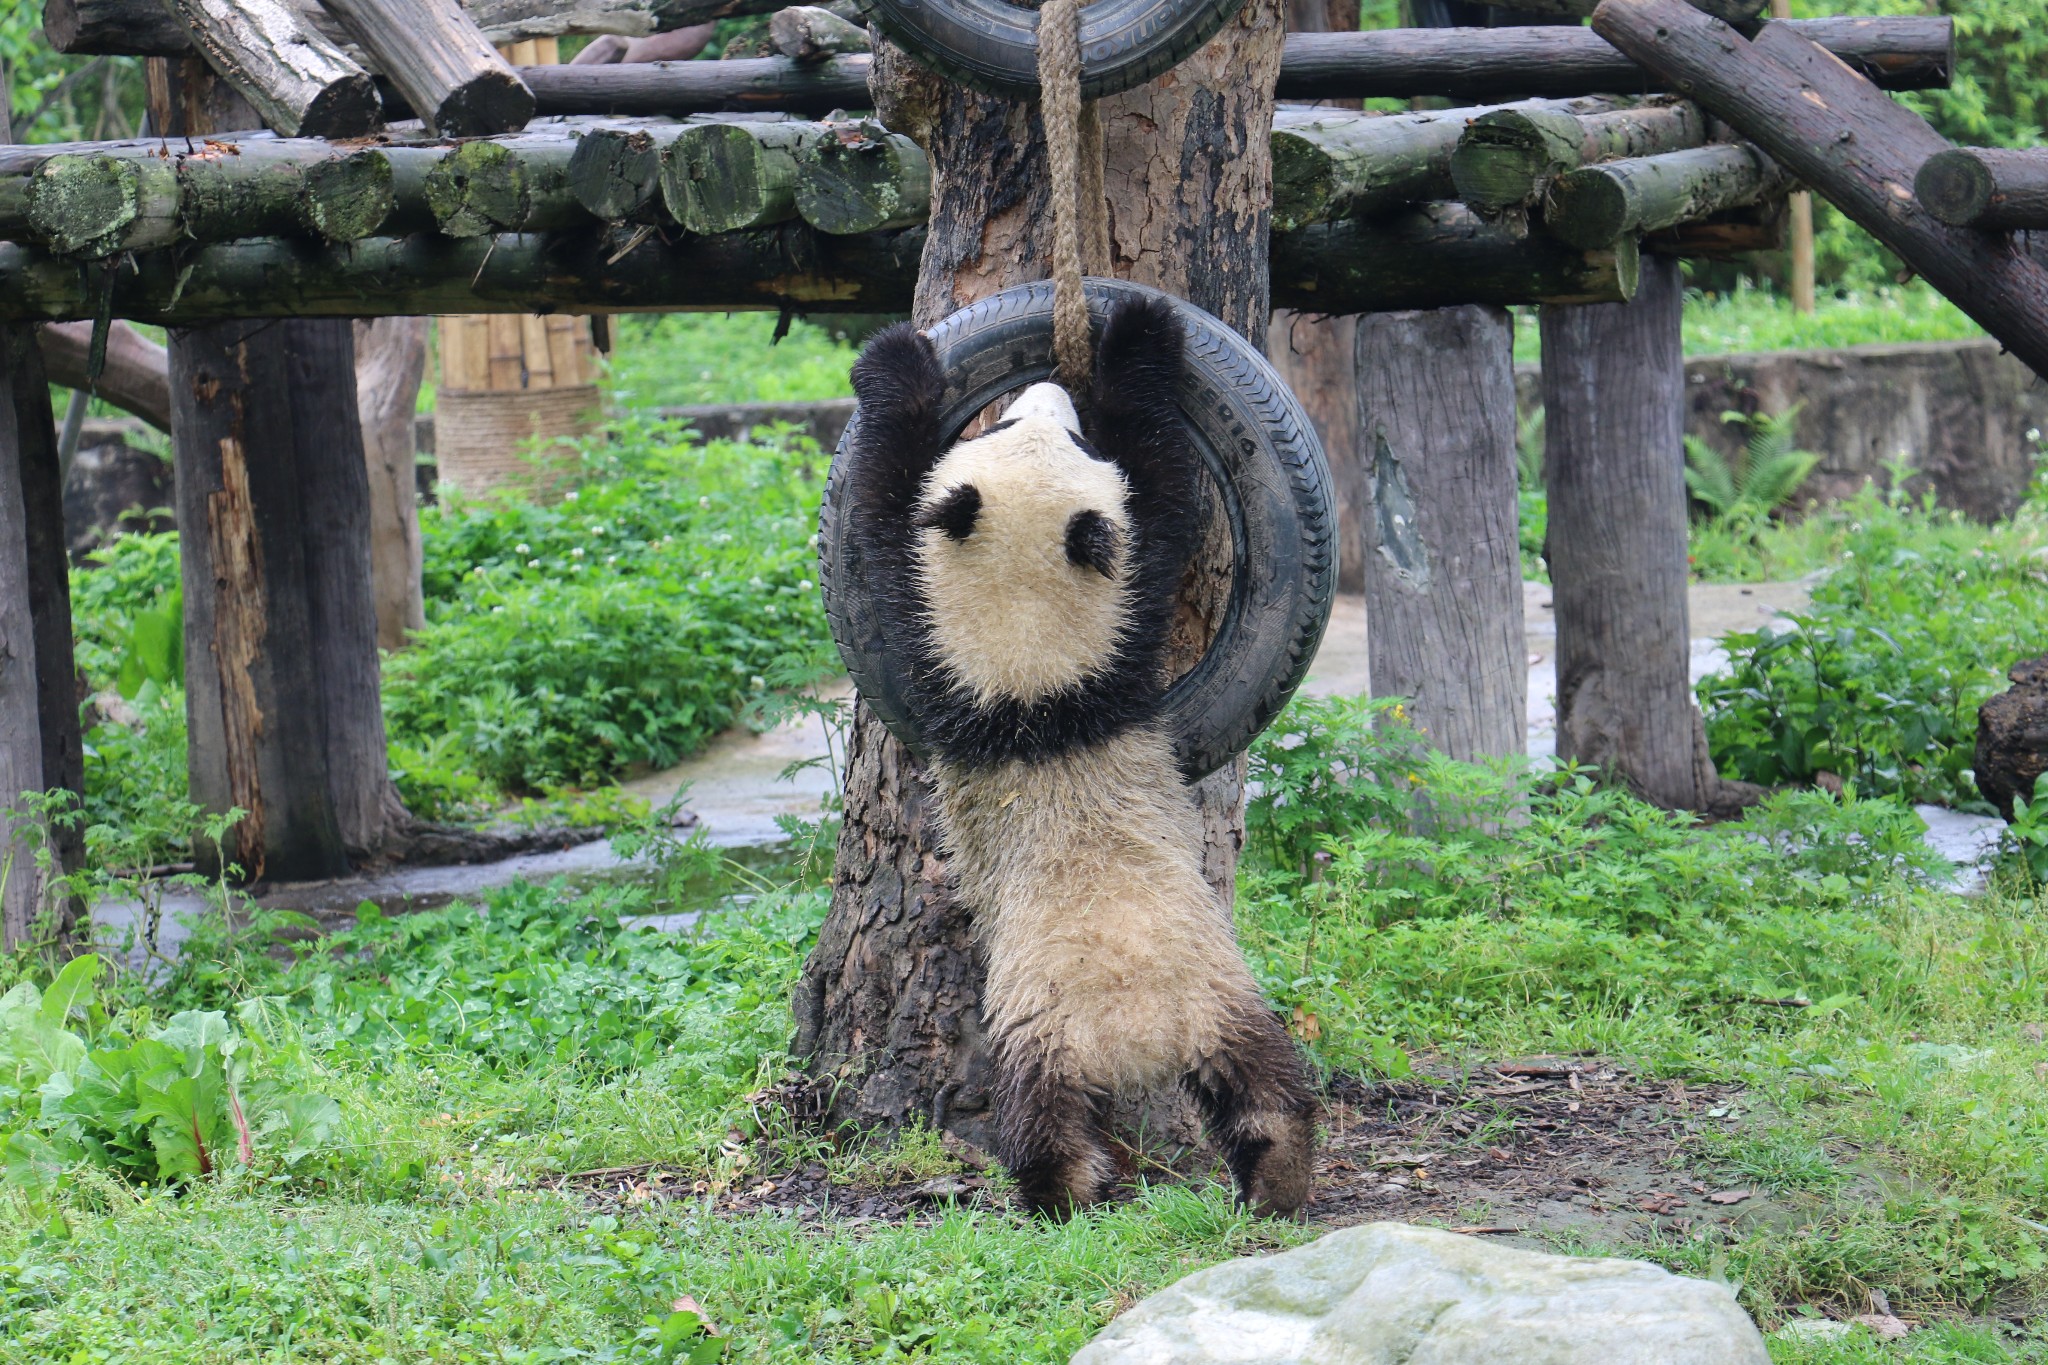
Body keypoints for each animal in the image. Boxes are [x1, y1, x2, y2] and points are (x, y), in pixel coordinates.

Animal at [843, 296, 1310, 1219]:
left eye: (1073, 438)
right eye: (1013, 422)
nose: (1050, 388)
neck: (1035, 689)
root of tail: (1140, 1037)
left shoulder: (1098, 653)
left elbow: (1161, 491)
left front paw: (1135, 329)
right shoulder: (958, 664)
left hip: (1186, 998)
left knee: (1247, 1090)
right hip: (1078, 1020)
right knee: (1198, 1098)